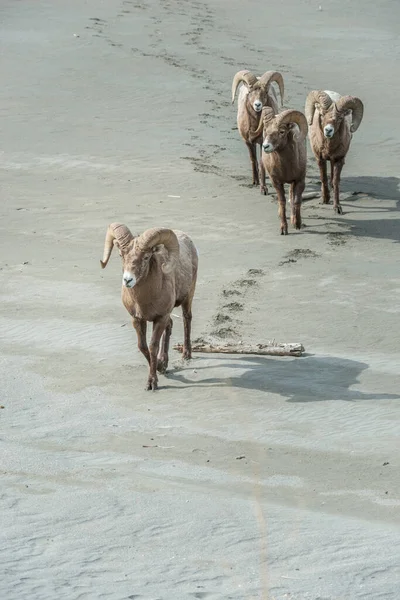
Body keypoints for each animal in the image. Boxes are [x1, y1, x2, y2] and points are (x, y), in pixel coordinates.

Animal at [101, 224, 198, 390]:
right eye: (121, 255)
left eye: (146, 257)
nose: (128, 280)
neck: (144, 300)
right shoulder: (138, 319)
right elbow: (143, 347)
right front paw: (160, 366)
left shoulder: (160, 318)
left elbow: (153, 346)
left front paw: (152, 382)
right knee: (170, 325)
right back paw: (164, 361)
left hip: (188, 297)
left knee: (187, 319)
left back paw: (186, 354)